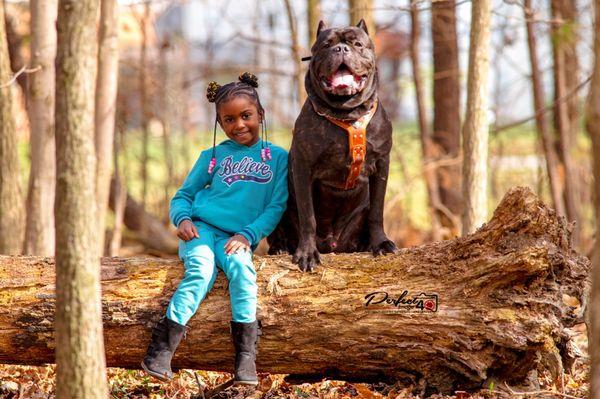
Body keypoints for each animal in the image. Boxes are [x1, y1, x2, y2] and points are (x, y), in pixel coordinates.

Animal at [268, 20, 398, 274]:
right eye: (326, 45)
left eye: (357, 44)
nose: (341, 49)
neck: (347, 112)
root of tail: (332, 244)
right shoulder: (303, 167)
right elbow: (308, 215)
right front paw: (307, 253)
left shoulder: (382, 164)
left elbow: (377, 210)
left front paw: (380, 243)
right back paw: (279, 247)